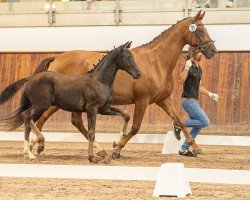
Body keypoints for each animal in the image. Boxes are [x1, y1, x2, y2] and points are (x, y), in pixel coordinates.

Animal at [0, 41, 141, 163]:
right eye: (128, 56)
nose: (138, 74)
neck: (99, 81)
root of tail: (29, 78)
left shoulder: (103, 108)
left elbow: (125, 114)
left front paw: (116, 141)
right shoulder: (92, 109)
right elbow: (91, 133)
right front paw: (91, 158)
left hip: (40, 106)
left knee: (28, 121)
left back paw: (28, 153)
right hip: (42, 105)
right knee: (26, 116)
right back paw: (38, 144)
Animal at [30, 10, 217, 158]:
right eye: (201, 29)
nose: (213, 51)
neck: (156, 61)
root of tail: (57, 57)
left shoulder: (163, 100)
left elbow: (179, 120)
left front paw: (196, 147)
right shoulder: (142, 100)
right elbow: (135, 127)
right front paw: (117, 148)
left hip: (63, 103)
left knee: (61, 121)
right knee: (46, 119)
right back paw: (37, 145)